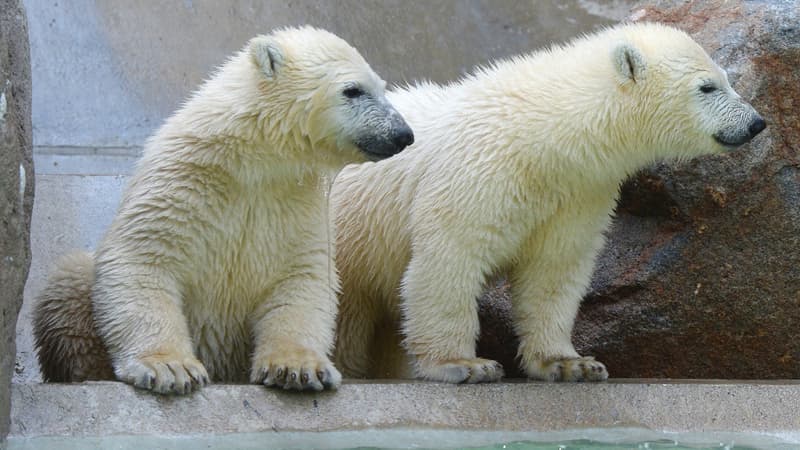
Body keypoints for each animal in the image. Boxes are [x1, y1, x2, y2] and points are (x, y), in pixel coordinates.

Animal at [31, 27, 412, 394]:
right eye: (353, 90)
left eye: (382, 87)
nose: (403, 134)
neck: (251, 157)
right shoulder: (181, 179)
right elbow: (143, 258)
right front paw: (170, 368)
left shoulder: (296, 200)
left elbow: (302, 276)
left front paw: (299, 368)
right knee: (73, 277)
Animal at [330, 22, 764, 384]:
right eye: (707, 87)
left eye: (727, 79)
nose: (756, 123)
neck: (545, 136)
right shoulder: (479, 171)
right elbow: (451, 255)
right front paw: (465, 364)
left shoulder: (578, 192)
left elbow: (554, 269)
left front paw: (571, 364)